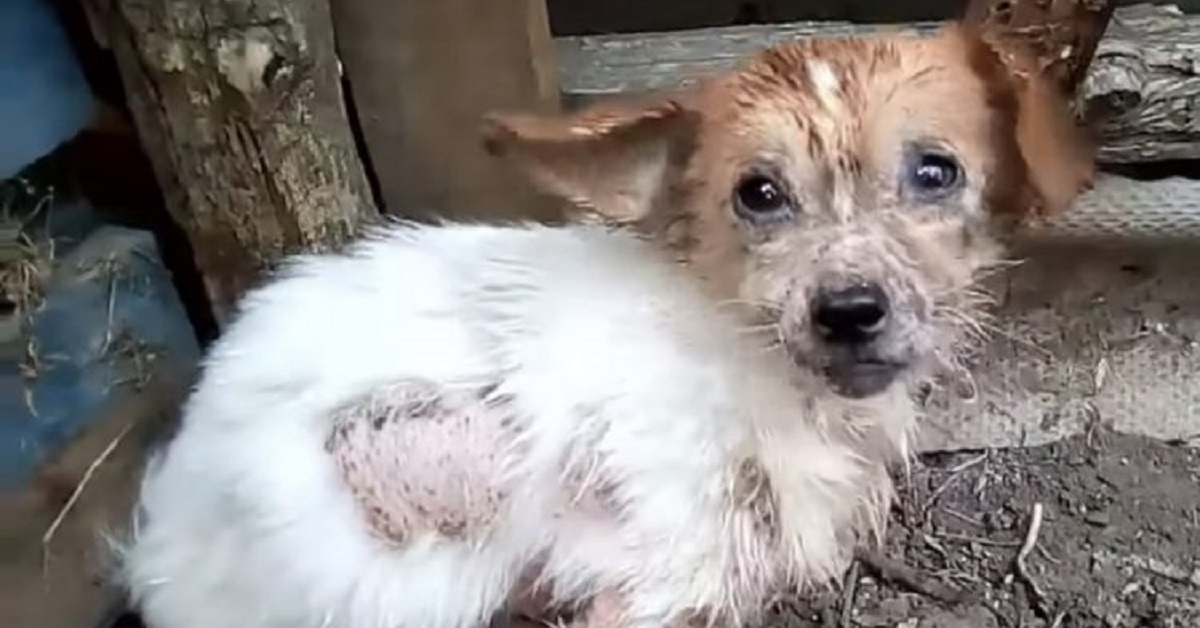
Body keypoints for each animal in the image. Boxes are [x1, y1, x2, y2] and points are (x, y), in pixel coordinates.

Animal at [119, 22, 1089, 628]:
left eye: (936, 172)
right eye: (758, 193)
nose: (849, 311)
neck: (748, 358)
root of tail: (159, 547)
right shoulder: (649, 577)